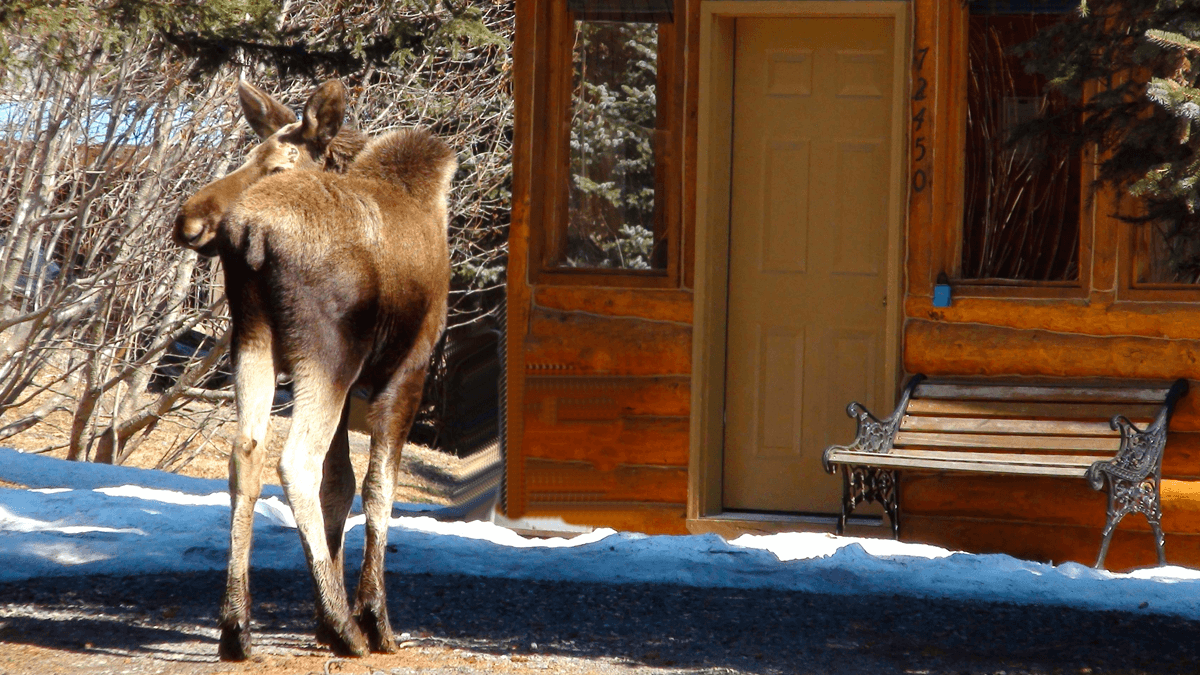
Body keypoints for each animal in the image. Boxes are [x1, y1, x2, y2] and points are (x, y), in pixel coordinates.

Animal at [173, 80, 455, 660]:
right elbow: (378, 489)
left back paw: (237, 624)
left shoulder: (356, 390)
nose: (187, 222)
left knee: (246, 454)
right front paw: (370, 616)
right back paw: (346, 627)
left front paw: (326, 620)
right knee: (295, 462)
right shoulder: (407, 371)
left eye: (278, 164)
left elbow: (340, 486)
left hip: (253, 342)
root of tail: (251, 233)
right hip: (328, 355)